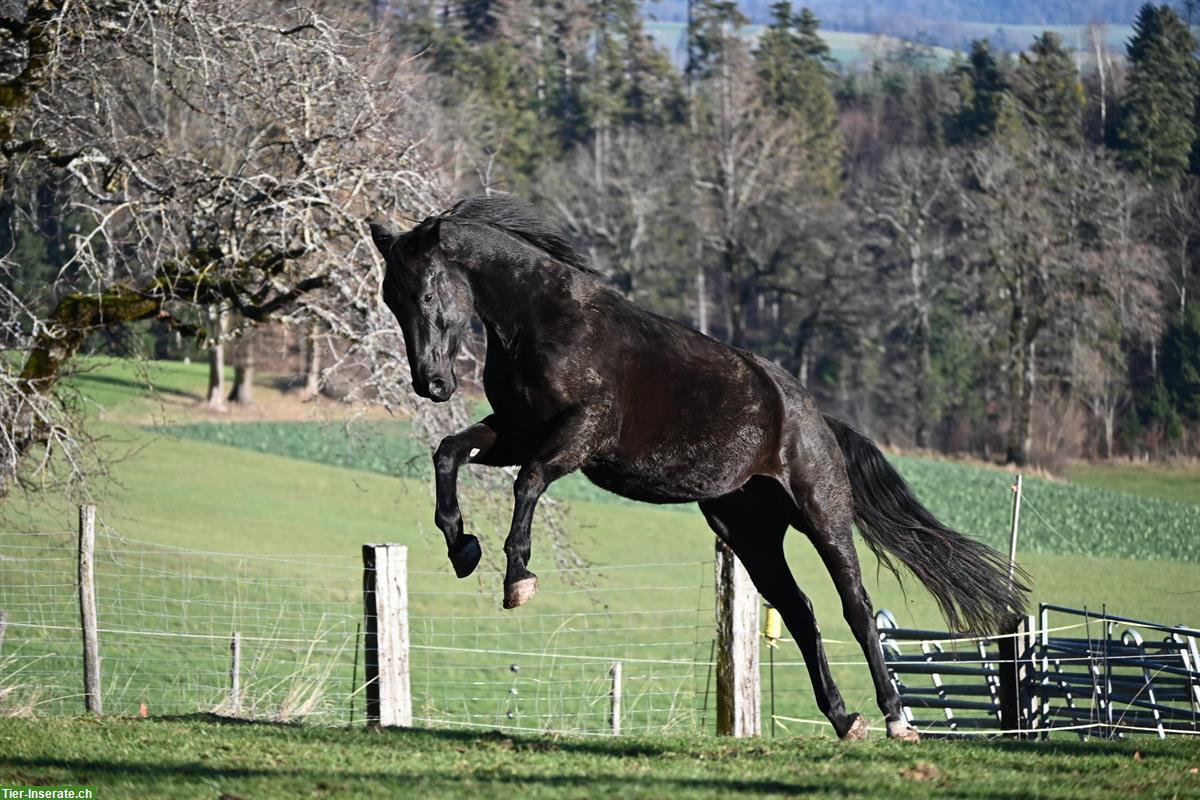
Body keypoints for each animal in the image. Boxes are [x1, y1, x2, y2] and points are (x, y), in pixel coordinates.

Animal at [369, 195, 1027, 743]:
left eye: (426, 296)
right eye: (390, 301)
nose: (431, 384)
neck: (544, 321)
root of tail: (815, 416)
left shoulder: (577, 435)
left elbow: (527, 482)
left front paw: (518, 578)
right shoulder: (517, 429)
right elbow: (449, 452)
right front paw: (462, 547)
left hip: (822, 515)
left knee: (856, 608)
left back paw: (895, 721)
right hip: (751, 532)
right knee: (800, 612)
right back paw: (845, 720)